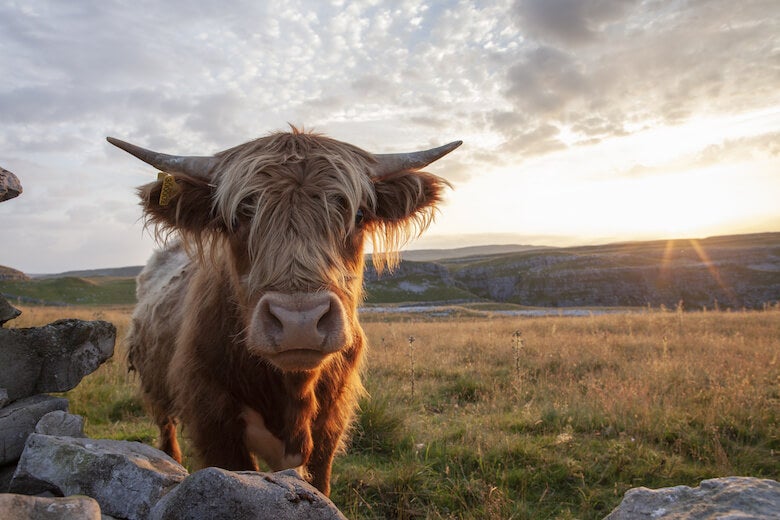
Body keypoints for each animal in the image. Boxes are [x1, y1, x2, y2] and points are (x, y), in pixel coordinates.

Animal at [110, 128, 464, 494]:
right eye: (237, 219)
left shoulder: (331, 427)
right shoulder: (213, 421)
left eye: (359, 216)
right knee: (166, 431)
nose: (299, 322)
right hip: (154, 387)